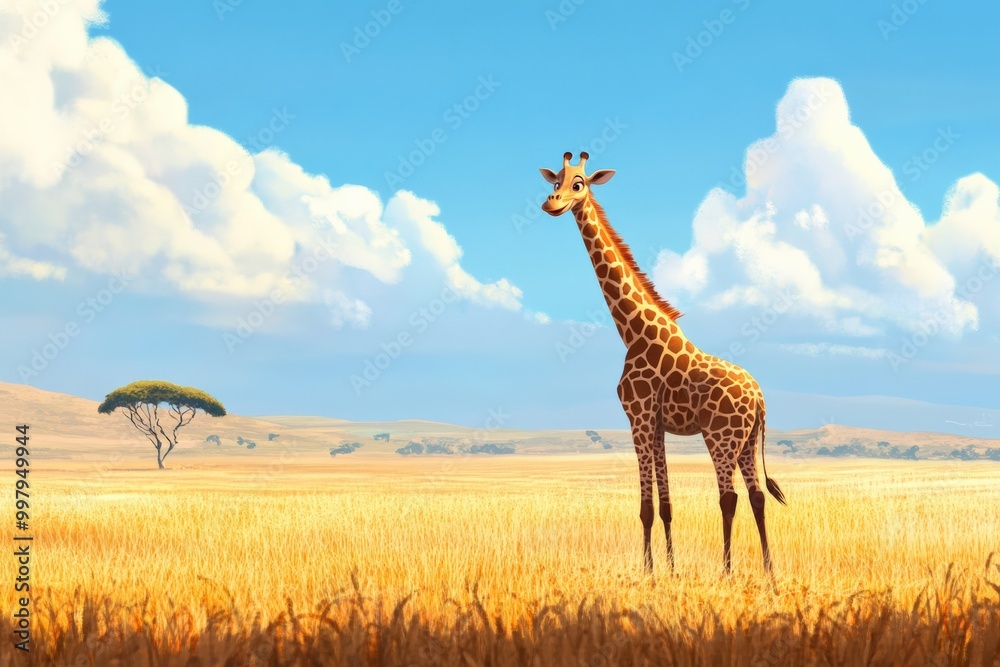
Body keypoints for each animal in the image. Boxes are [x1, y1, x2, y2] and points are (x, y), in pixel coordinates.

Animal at [539, 152, 786, 574]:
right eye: (554, 180)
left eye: (578, 184)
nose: (551, 203)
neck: (633, 331)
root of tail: (759, 398)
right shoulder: (656, 425)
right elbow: (666, 505)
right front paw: (670, 569)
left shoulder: (637, 417)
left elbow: (645, 507)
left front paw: (649, 572)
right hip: (747, 441)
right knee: (756, 496)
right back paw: (769, 572)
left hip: (721, 437)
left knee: (730, 497)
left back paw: (727, 571)